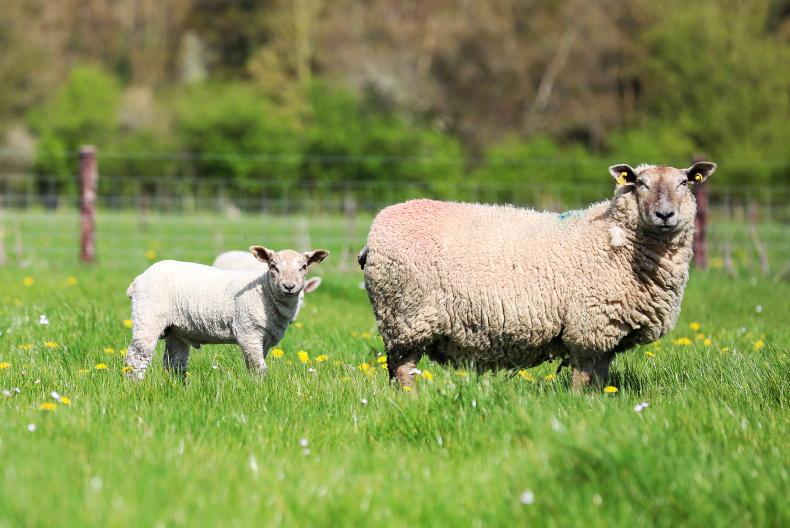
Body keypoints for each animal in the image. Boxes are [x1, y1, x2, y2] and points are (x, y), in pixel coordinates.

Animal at [124, 246, 329, 379]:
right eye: (273, 266)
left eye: (303, 267)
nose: (289, 286)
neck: (264, 291)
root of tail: (138, 279)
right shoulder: (248, 332)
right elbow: (258, 368)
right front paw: (259, 390)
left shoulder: (264, 339)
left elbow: (258, 364)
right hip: (147, 317)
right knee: (137, 357)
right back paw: (134, 385)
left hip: (177, 329)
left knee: (175, 363)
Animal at [359, 161, 717, 389]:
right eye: (639, 183)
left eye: (684, 182)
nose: (665, 214)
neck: (612, 235)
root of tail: (373, 232)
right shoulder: (587, 325)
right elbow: (583, 377)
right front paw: (581, 406)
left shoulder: (607, 331)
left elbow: (600, 378)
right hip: (406, 315)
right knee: (403, 369)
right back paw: (411, 401)